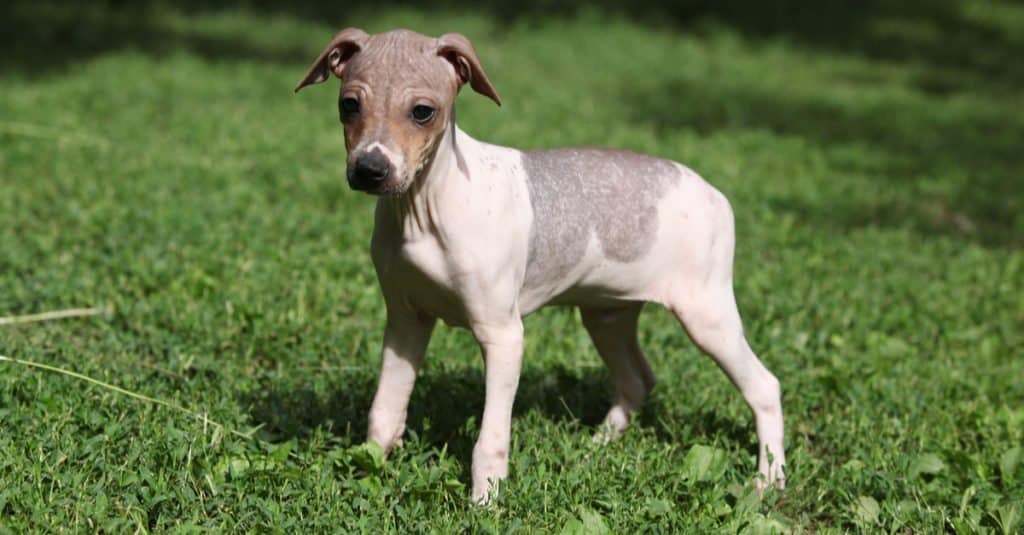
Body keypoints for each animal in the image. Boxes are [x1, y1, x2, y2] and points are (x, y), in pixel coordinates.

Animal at [294, 27, 782, 502]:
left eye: (422, 112)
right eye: (349, 105)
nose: (370, 169)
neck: (423, 209)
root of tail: (716, 194)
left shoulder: (503, 334)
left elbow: (490, 438)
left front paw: (485, 502)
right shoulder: (404, 320)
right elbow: (385, 409)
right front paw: (370, 471)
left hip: (707, 317)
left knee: (765, 387)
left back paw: (769, 480)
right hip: (606, 315)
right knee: (637, 378)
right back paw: (595, 447)